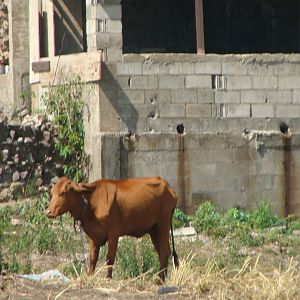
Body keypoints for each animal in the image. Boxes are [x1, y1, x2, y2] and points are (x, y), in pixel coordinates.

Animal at [45, 176, 179, 282]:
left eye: (64, 193)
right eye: (52, 193)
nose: (48, 212)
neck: (91, 202)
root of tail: (168, 187)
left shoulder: (114, 233)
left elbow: (110, 258)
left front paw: (108, 278)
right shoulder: (94, 235)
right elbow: (93, 257)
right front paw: (89, 276)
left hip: (163, 224)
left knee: (164, 252)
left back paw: (160, 280)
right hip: (154, 229)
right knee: (163, 251)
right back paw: (162, 277)